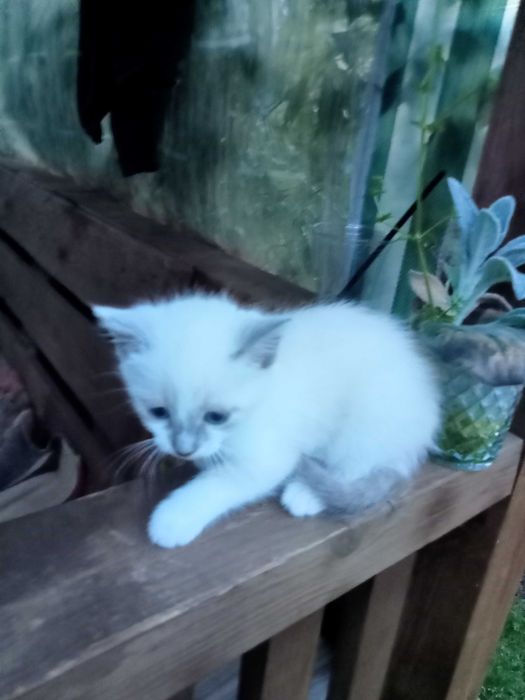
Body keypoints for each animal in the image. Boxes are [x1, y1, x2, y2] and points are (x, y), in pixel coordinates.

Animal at [93, 292, 440, 548]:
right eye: (158, 412)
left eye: (216, 416)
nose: (184, 449)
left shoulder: (267, 457)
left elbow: (218, 483)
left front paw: (172, 518)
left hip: (367, 420)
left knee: (356, 466)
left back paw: (306, 494)